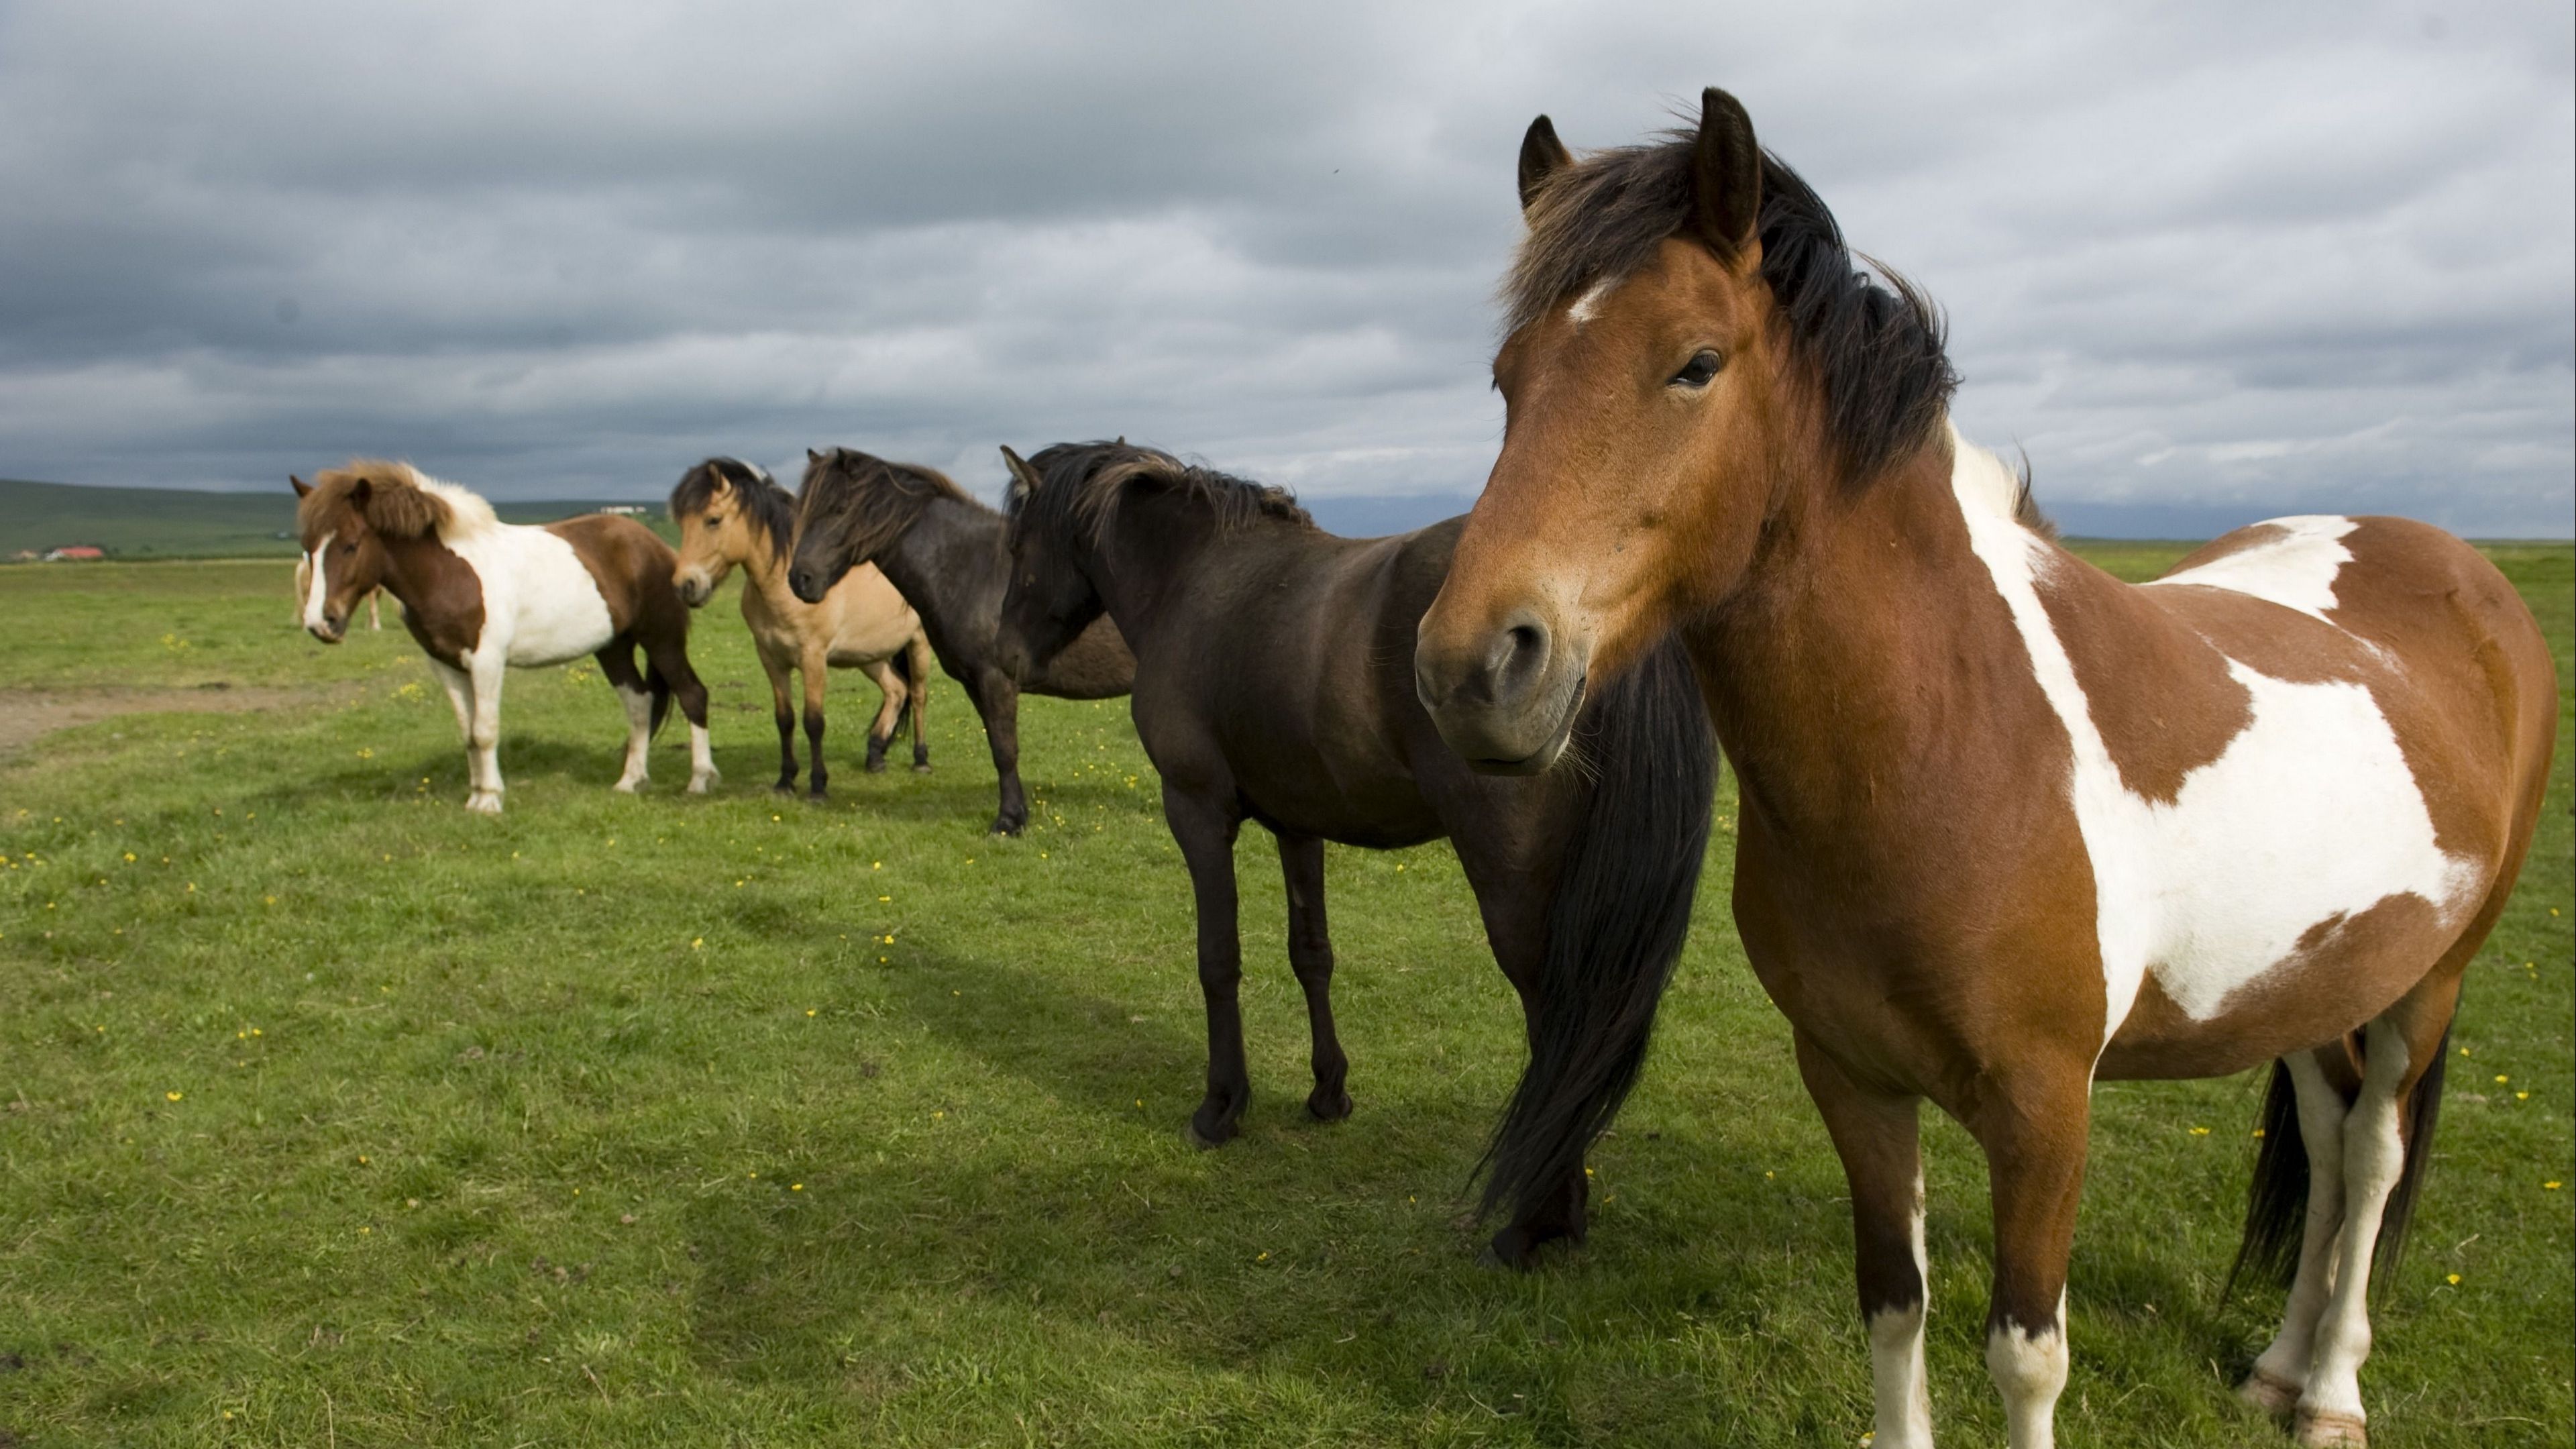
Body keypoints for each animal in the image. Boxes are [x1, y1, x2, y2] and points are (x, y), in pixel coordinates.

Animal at [297, 456, 721, 804]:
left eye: (351, 545)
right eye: (308, 547)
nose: (321, 623)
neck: (447, 573)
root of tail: (657, 547)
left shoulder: (487, 661)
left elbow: (485, 730)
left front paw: (490, 800)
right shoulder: (445, 665)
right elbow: (468, 733)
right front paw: (475, 797)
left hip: (662, 639)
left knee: (692, 694)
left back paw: (700, 780)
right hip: (613, 646)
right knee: (639, 703)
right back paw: (630, 781)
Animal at [669, 456, 943, 794]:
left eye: (713, 520)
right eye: (682, 524)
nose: (686, 586)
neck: (784, 587)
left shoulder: (813, 658)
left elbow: (814, 722)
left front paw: (818, 786)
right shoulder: (772, 659)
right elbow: (784, 719)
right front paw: (786, 781)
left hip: (918, 644)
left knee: (917, 695)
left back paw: (921, 759)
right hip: (869, 655)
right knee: (895, 690)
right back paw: (876, 756)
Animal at [783, 448, 1138, 835]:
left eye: (839, 508)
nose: (800, 579)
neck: (970, 569)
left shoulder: (997, 680)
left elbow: (1006, 750)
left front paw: (1007, 822)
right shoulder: (974, 684)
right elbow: (998, 748)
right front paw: (1017, 814)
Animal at [994, 438, 1721, 1252]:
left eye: (1015, 546)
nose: (1004, 653)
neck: (1195, 578)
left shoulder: (1197, 811)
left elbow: (1218, 960)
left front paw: (1222, 1106)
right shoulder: (1299, 824)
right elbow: (1312, 955)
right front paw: (1328, 1091)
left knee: (1557, 1021)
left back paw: (1538, 1226)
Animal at [1411, 90, 2555, 1444]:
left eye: (1695, 362)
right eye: (1508, 378)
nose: (1475, 667)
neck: (1946, 745)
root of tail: (2455, 567)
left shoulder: (2046, 1109)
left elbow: (2026, 1354)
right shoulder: (1852, 1080)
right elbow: (1893, 1305)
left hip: (2433, 977)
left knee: (2374, 1156)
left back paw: (2329, 1391)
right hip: (2317, 978)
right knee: (2329, 1145)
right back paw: (2277, 1369)